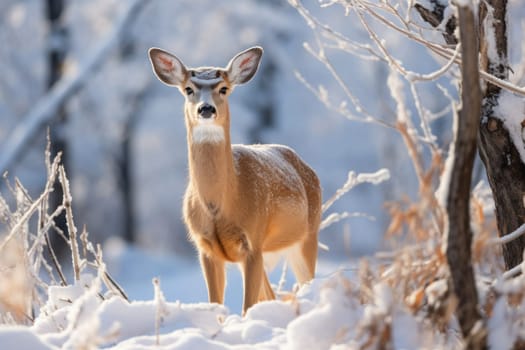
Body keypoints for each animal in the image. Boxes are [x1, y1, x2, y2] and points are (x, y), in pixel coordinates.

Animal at [145, 45, 322, 314]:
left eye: (223, 88)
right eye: (188, 89)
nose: (206, 109)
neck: (222, 204)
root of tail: (306, 166)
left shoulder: (253, 240)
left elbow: (247, 306)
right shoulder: (206, 248)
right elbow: (216, 303)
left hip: (307, 235)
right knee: (270, 294)